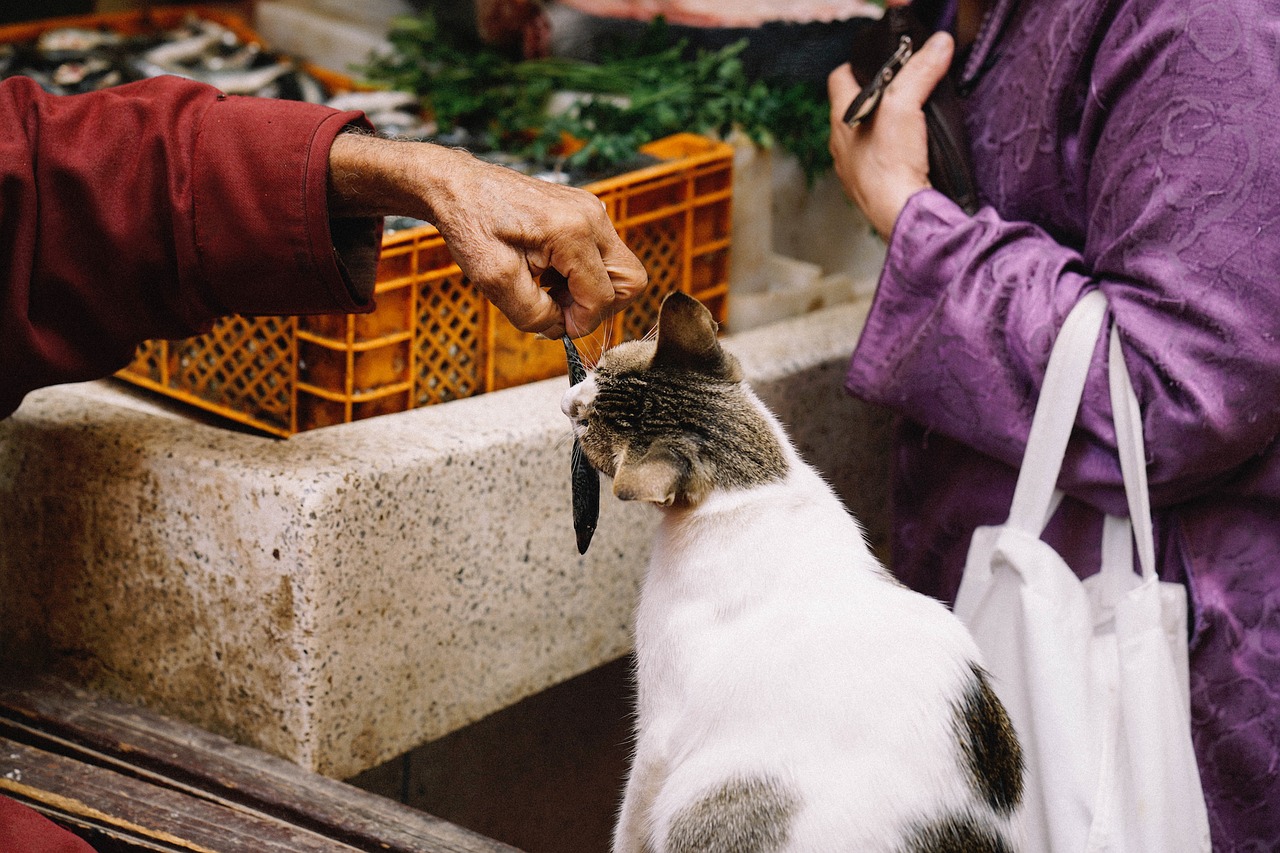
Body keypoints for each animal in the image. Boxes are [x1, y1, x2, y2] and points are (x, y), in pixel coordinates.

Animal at [565, 292, 1024, 850]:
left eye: (587, 425)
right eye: (600, 371)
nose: (568, 401)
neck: (755, 486)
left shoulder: (658, 728)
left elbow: (630, 818)